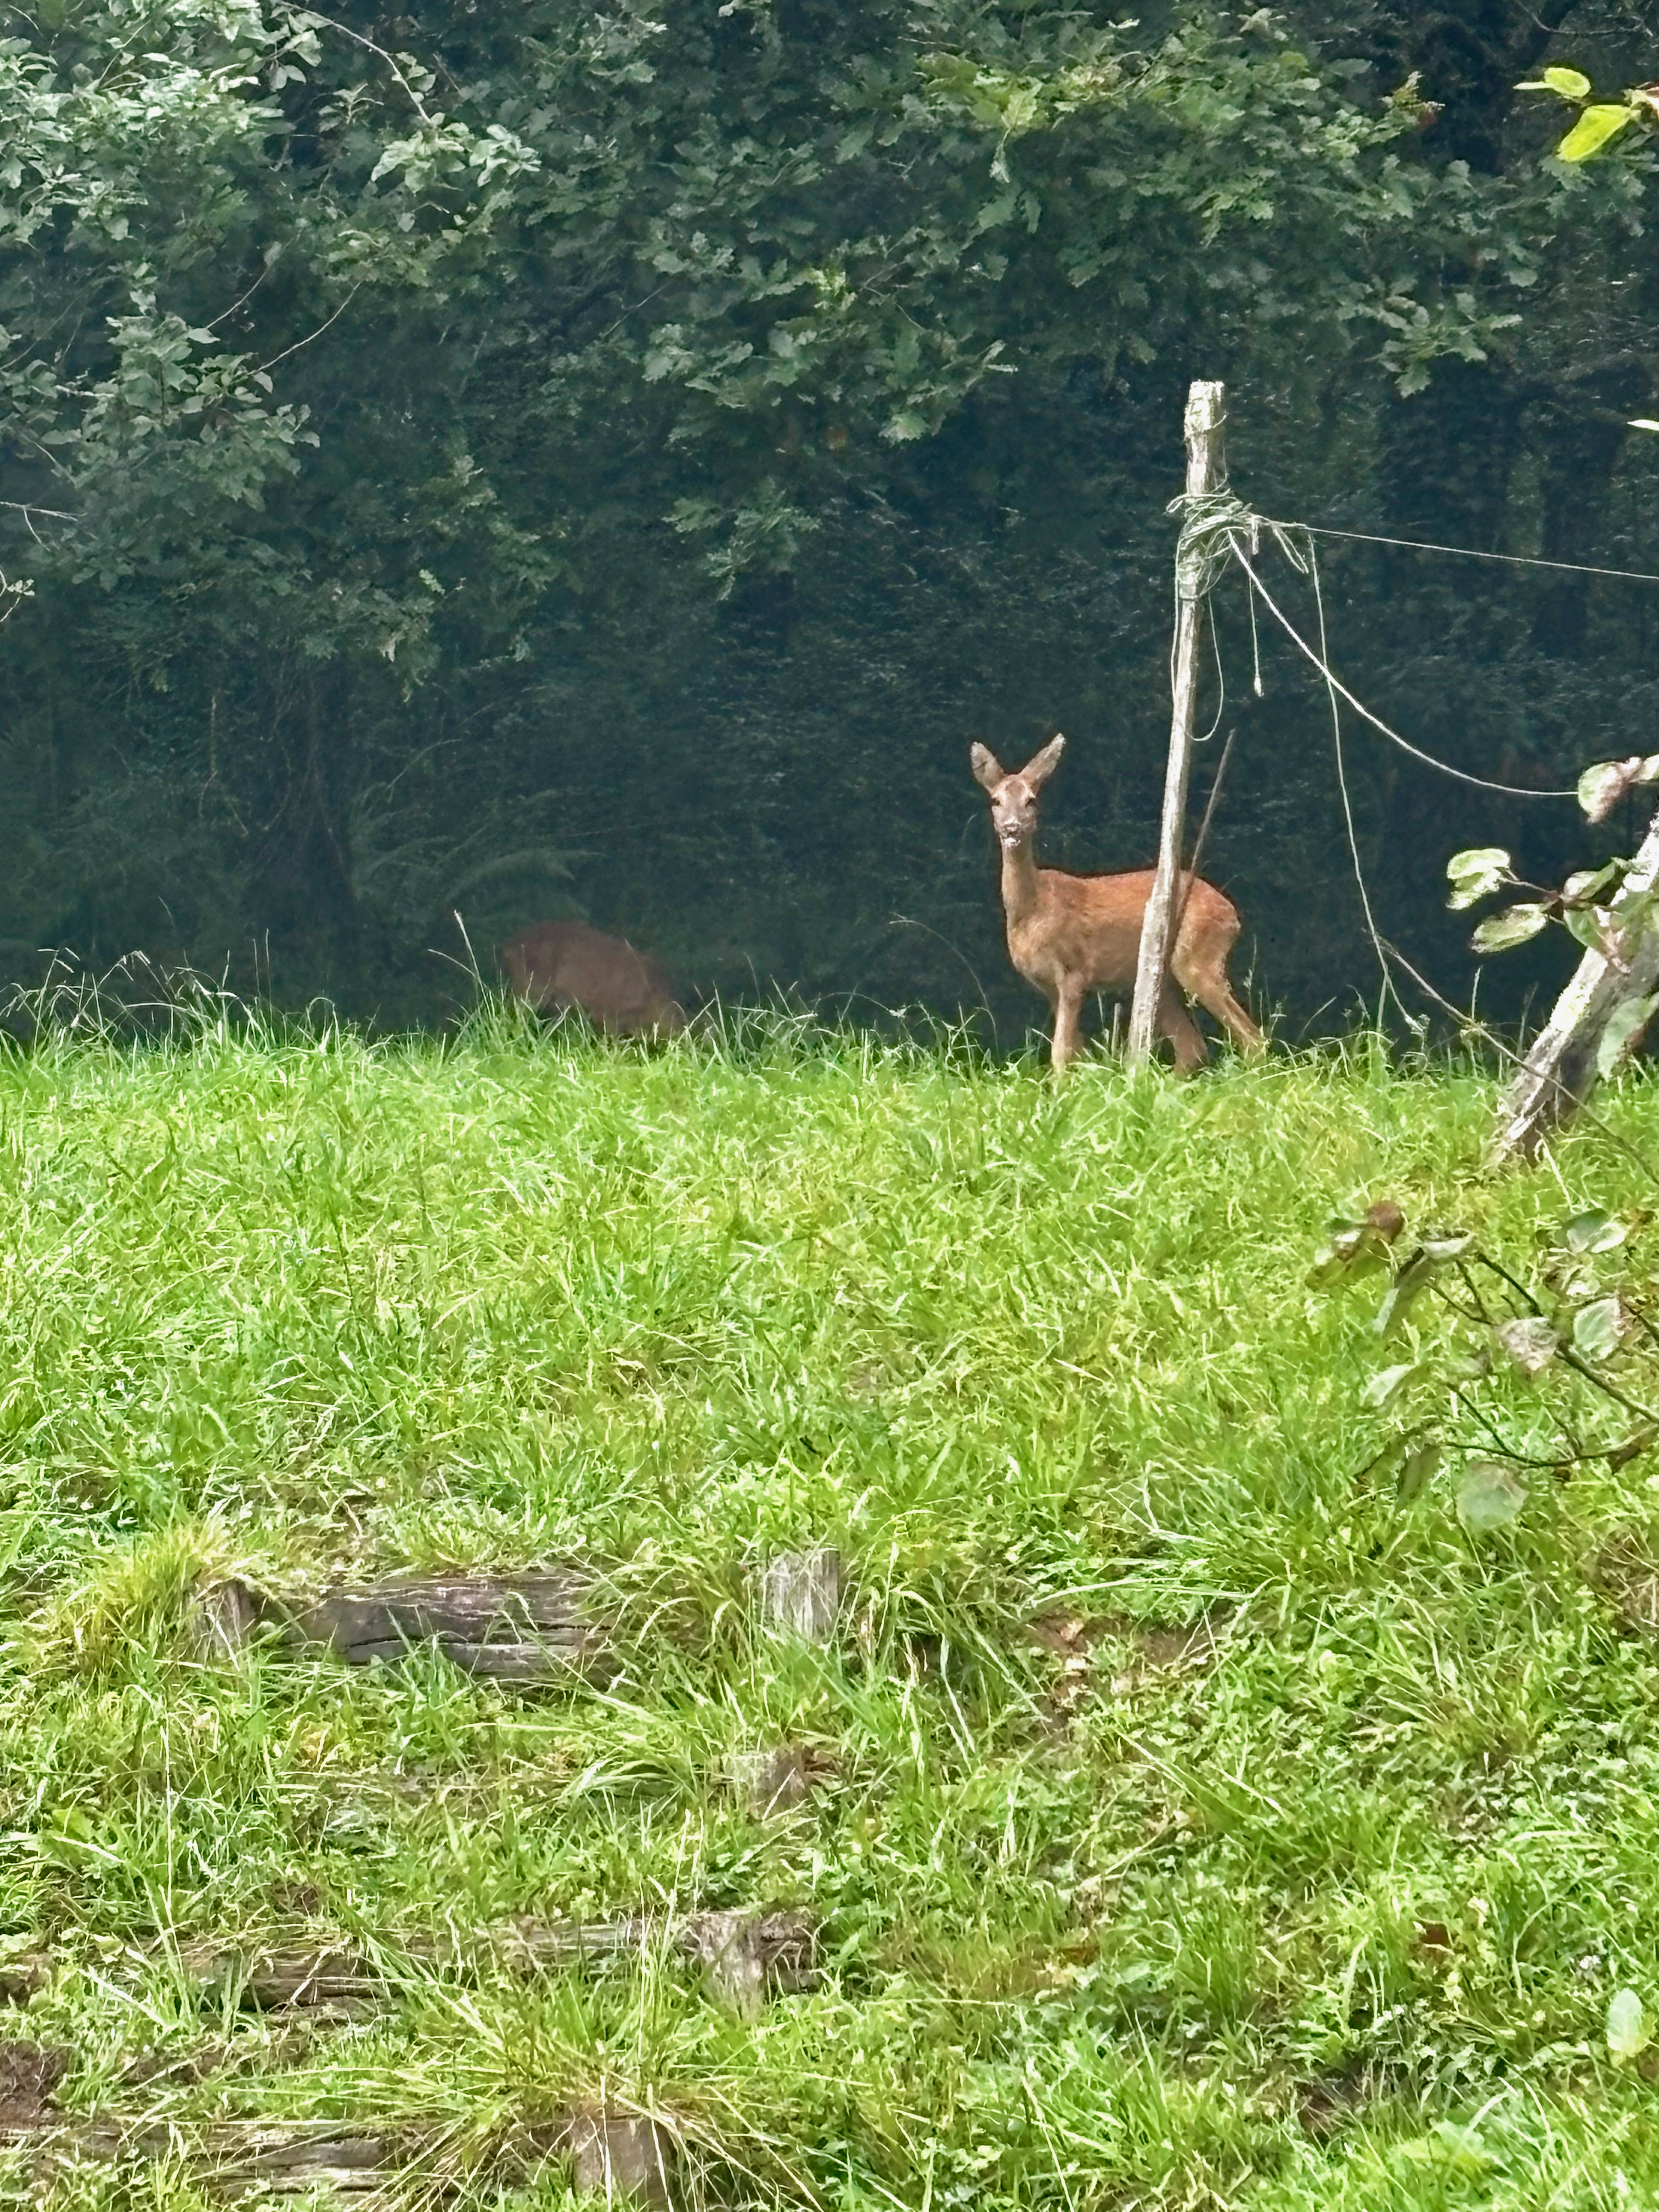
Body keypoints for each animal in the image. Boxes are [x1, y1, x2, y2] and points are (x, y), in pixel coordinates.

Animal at [970, 734, 1261, 1076]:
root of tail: (1233, 915)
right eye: (996, 801)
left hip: (1197, 955)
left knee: (1251, 1037)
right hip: (1162, 977)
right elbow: (1076, 1051)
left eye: (1031, 800)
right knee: (1193, 1047)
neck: (1032, 910)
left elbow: (1061, 1052)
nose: (1012, 828)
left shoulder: (1074, 971)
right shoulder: (1048, 986)